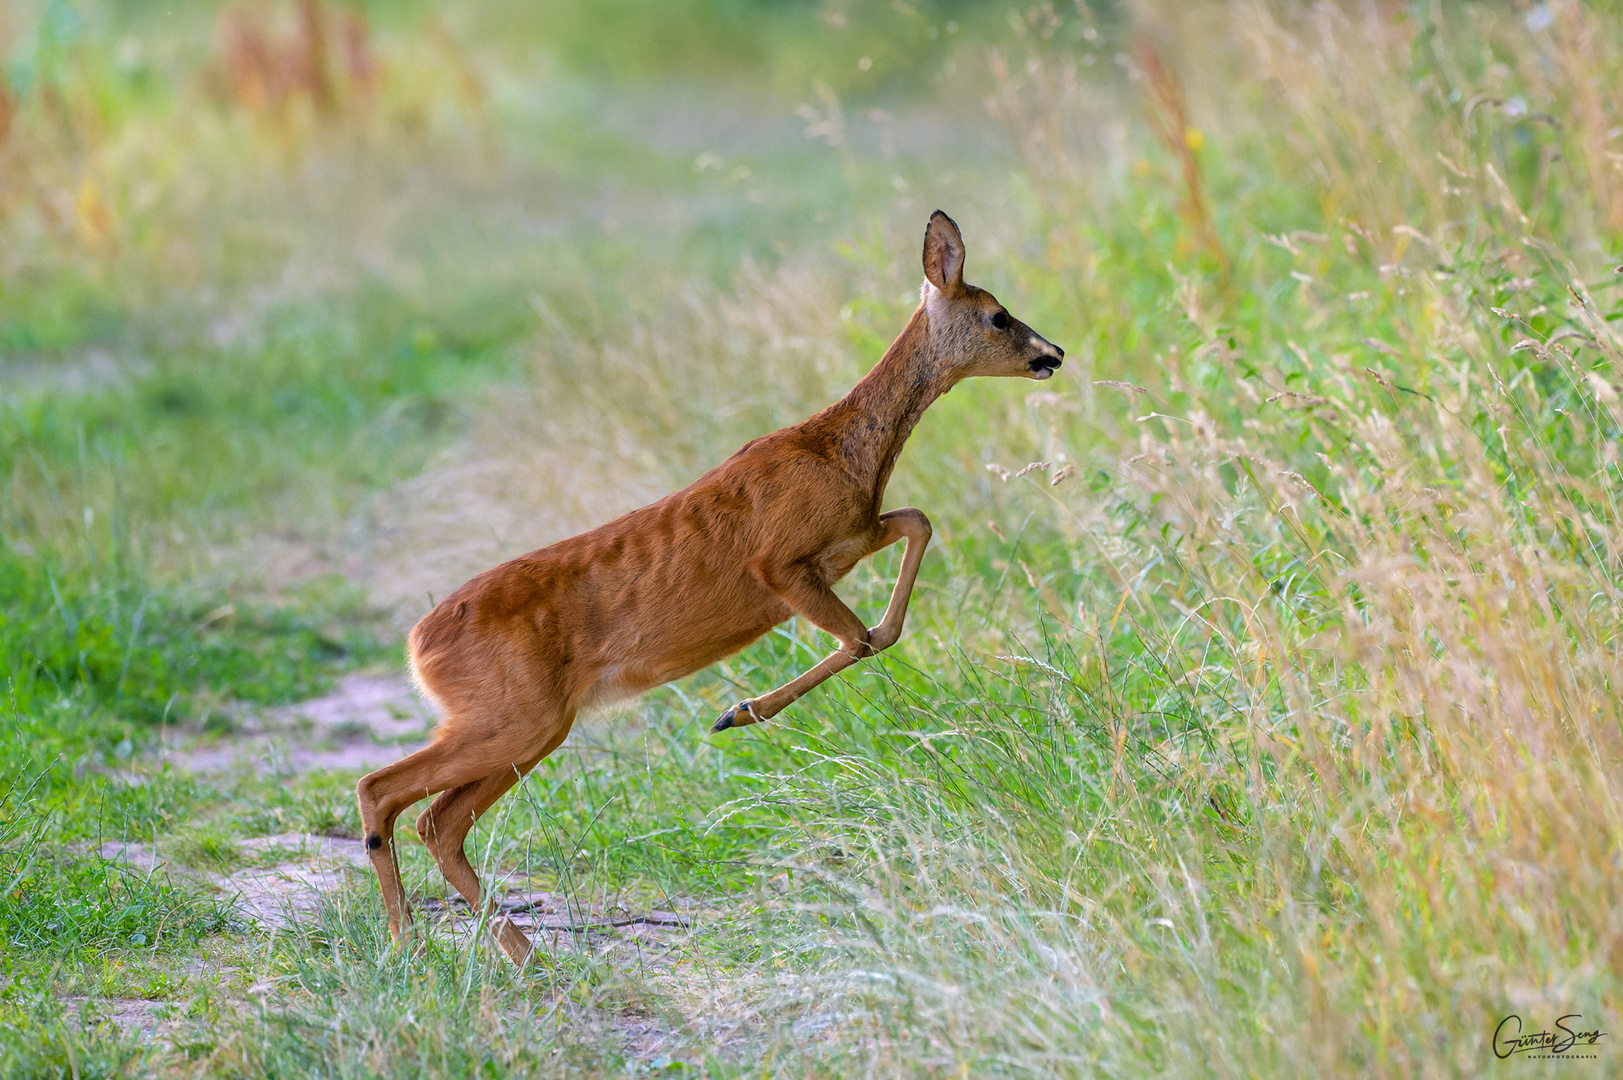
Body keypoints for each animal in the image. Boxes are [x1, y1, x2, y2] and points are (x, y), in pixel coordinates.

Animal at [357, 211, 1064, 961]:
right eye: (997, 315)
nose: (1054, 353)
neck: (840, 452)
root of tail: (417, 646)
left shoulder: (851, 537)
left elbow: (912, 536)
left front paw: (740, 710)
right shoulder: (779, 564)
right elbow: (862, 638)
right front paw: (739, 711)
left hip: (534, 727)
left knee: (439, 821)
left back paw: (521, 957)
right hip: (512, 715)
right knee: (382, 789)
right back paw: (410, 945)